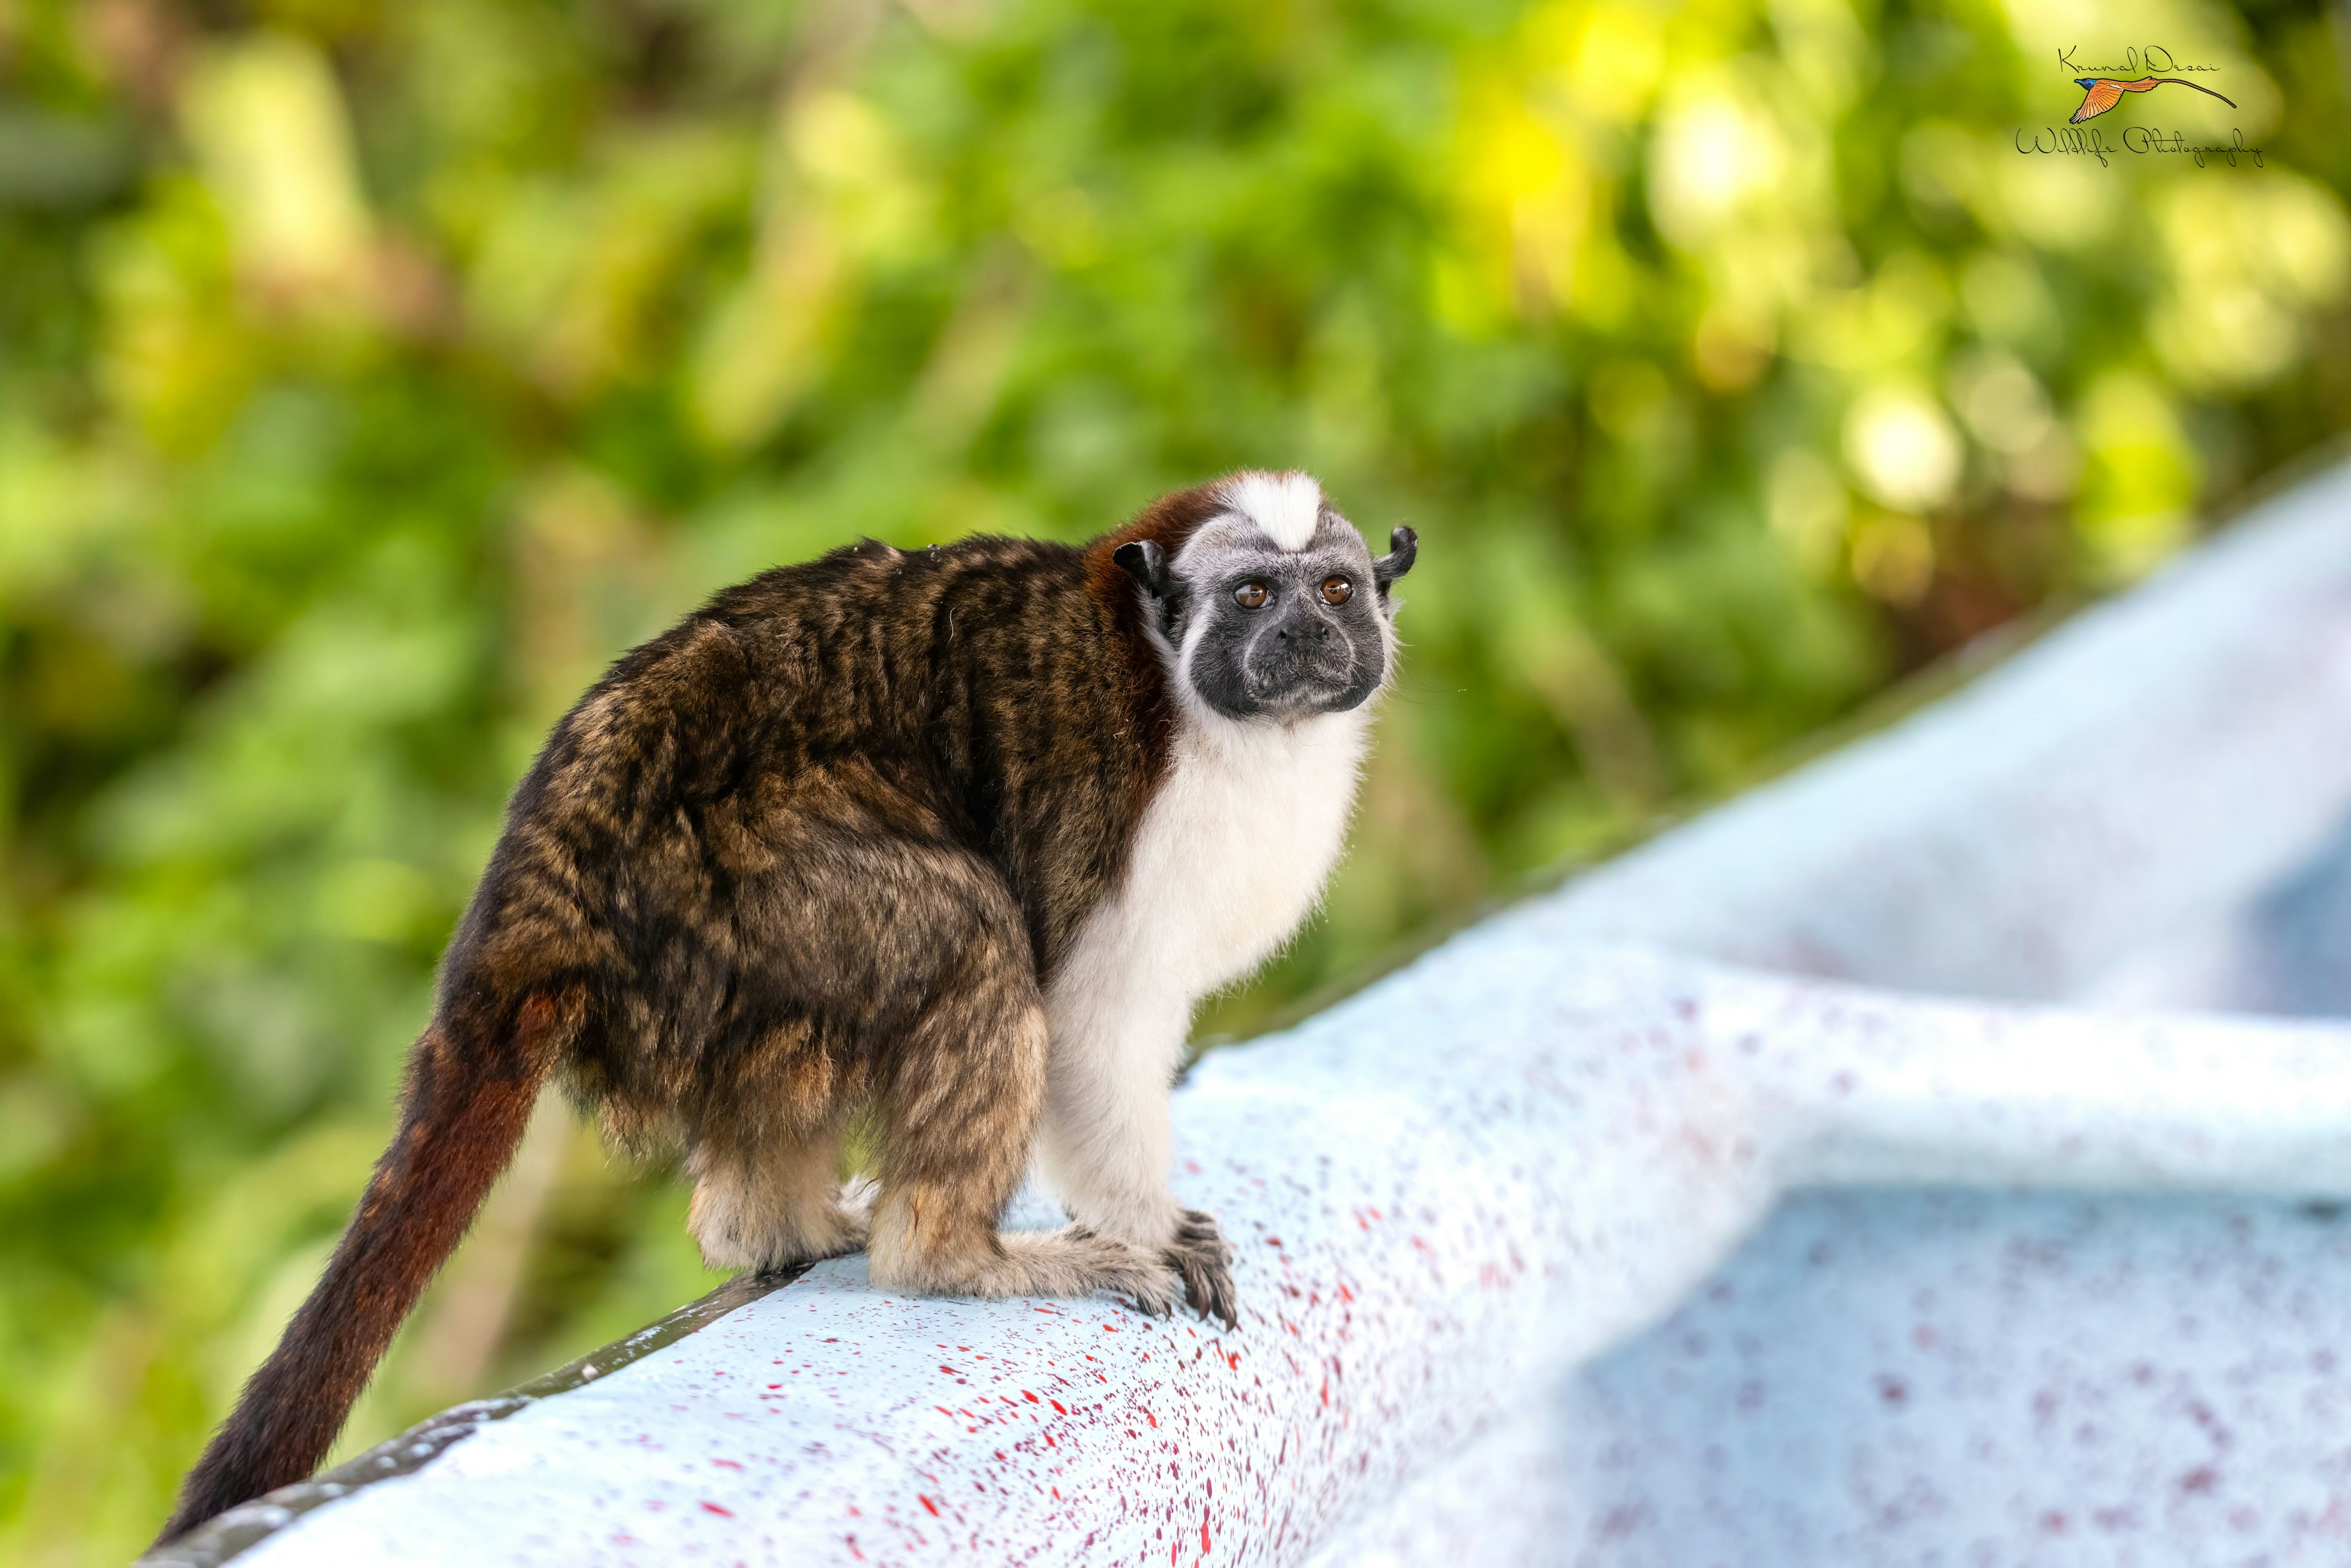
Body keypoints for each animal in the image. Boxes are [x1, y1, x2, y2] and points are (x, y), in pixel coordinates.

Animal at [161, 465, 1411, 1542]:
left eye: (1335, 589)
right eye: (1251, 597)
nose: (1307, 636)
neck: (1209, 716)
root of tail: (544, 862)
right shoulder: (1125, 822)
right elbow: (1093, 1016)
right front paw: (1144, 1223)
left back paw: (788, 1229)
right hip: (729, 888)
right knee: (966, 925)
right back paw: (951, 1254)